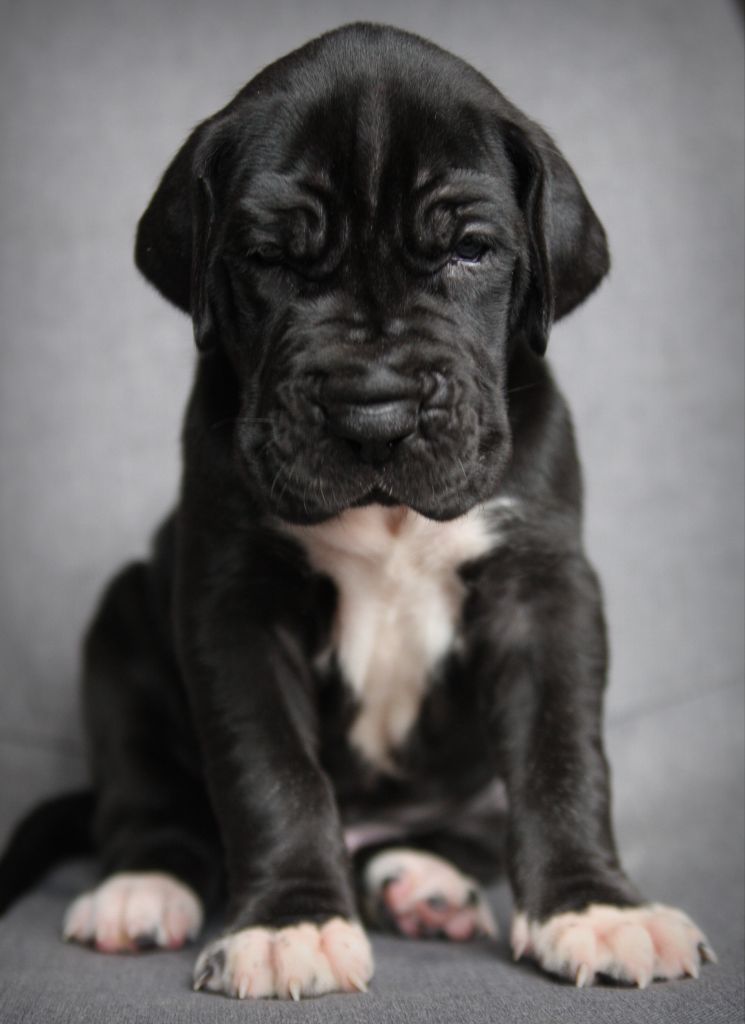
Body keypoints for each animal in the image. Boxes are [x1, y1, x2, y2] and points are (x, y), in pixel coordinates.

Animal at [0, 22, 715, 1000]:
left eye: (469, 251)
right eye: (268, 258)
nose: (374, 412)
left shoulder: (541, 591)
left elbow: (561, 755)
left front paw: (595, 908)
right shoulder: (234, 604)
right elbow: (270, 770)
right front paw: (290, 922)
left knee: (456, 825)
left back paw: (423, 880)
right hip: (121, 630)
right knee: (147, 797)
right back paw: (141, 884)